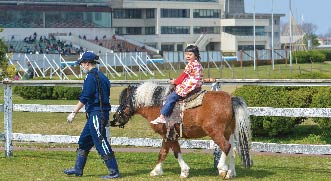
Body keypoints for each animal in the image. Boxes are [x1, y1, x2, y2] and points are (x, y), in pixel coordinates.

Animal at [110, 82, 253, 179]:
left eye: (123, 102)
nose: (114, 119)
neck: (159, 106)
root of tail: (231, 99)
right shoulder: (168, 135)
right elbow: (165, 152)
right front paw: (158, 171)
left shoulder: (169, 135)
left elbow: (172, 152)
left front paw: (182, 171)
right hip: (228, 132)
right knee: (233, 150)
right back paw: (231, 172)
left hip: (215, 132)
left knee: (225, 146)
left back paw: (222, 169)